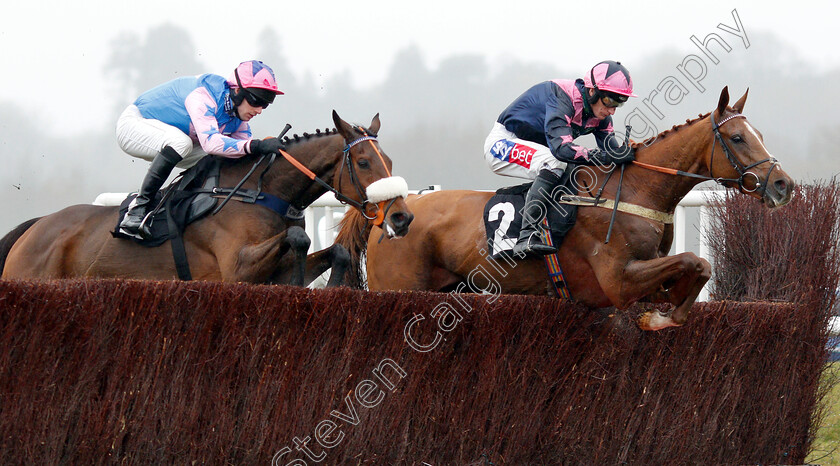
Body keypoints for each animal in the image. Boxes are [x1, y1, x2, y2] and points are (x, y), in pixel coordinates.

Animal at [0, 110, 414, 284]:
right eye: (363, 162)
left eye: (390, 161)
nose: (402, 217)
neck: (261, 192)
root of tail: (34, 227)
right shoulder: (237, 268)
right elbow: (299, 236)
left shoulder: (266, 273)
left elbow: (337, 251)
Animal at [334, 85, 796, 330]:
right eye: (737, 138)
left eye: (757, 133)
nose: (783, 185)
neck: (634, 191)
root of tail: (390, 213)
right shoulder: (617, 282)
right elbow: (693, 261)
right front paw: (661, 319)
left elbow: (697, 267)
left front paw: (669, 310)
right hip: (398, 289)